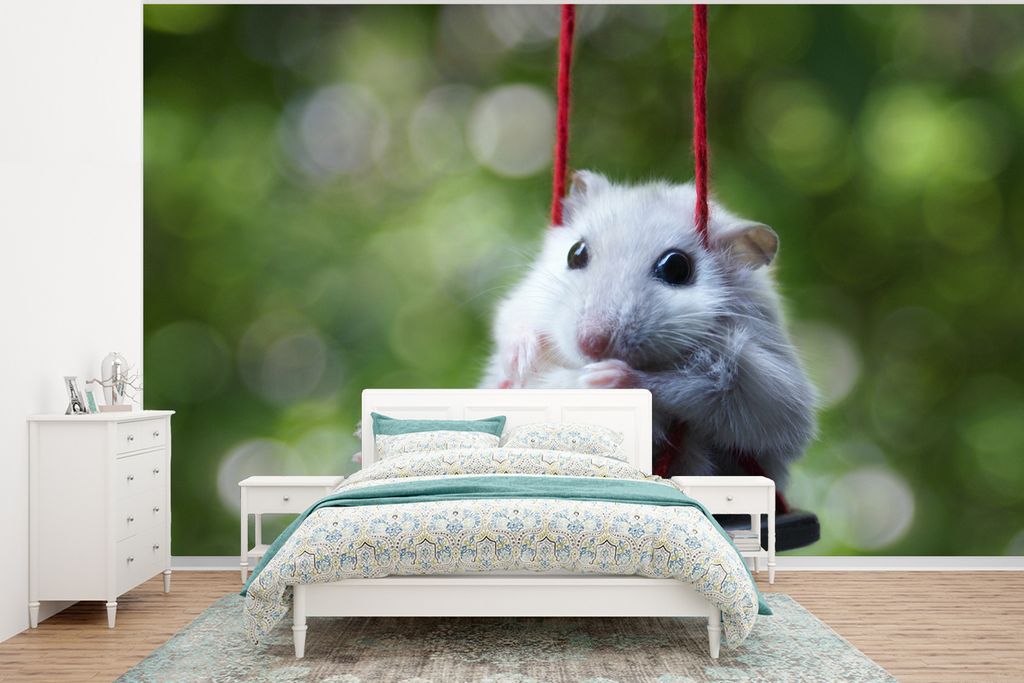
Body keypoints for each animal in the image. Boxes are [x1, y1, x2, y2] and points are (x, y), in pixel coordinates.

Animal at [479, 171, 816, 486]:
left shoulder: (768, 383)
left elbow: (700, 388)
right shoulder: (524, 299)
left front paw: (604, 379)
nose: (591, 344)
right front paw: (523, 358)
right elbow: (513, 325)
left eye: (676, 267)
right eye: (576, 253)